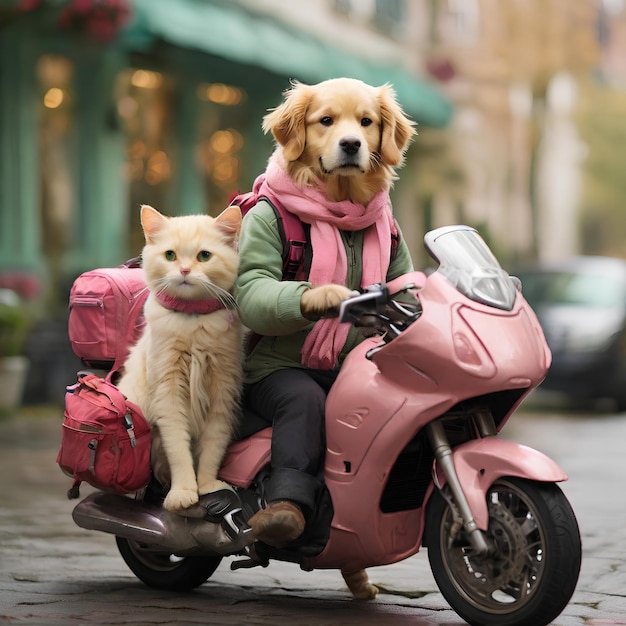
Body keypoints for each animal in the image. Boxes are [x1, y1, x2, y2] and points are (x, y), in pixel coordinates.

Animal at [117, 205, 241, 512]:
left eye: (204, 256)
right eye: (170, 255)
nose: (184, 271)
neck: (193, 321)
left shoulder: (222, 392)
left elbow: (212, 449)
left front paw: (208, 487)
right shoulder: (168, 392)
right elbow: (179, 450)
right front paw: (183, 492)